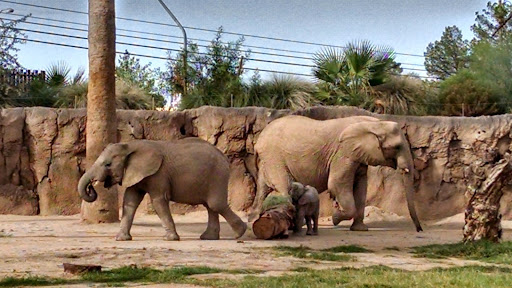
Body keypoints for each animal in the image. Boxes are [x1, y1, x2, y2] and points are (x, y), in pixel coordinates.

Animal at [78, 138, 248, 242]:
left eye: (108, 164)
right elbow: (130, 201)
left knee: (215, 204)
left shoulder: (158, 174)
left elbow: (158, 201)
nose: (92, 187)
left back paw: (240, 233)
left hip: (218, 175)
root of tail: (224, 156)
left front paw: (170, 239)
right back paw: (208, 237)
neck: (130, 145)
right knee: (210, 206)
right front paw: (121, 239)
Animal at [247, 115, 420, 232]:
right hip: (274, 157)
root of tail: (259, 139)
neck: (373, 123)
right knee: (284, 186)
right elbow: (336, 183)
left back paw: (253, 219)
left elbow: (361, 187)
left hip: (267, 159)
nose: (420, 230)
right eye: (397, 147)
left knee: (263, 188)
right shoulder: (343, 152)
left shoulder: (357, 155)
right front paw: (336, 218)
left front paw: (359, 229)